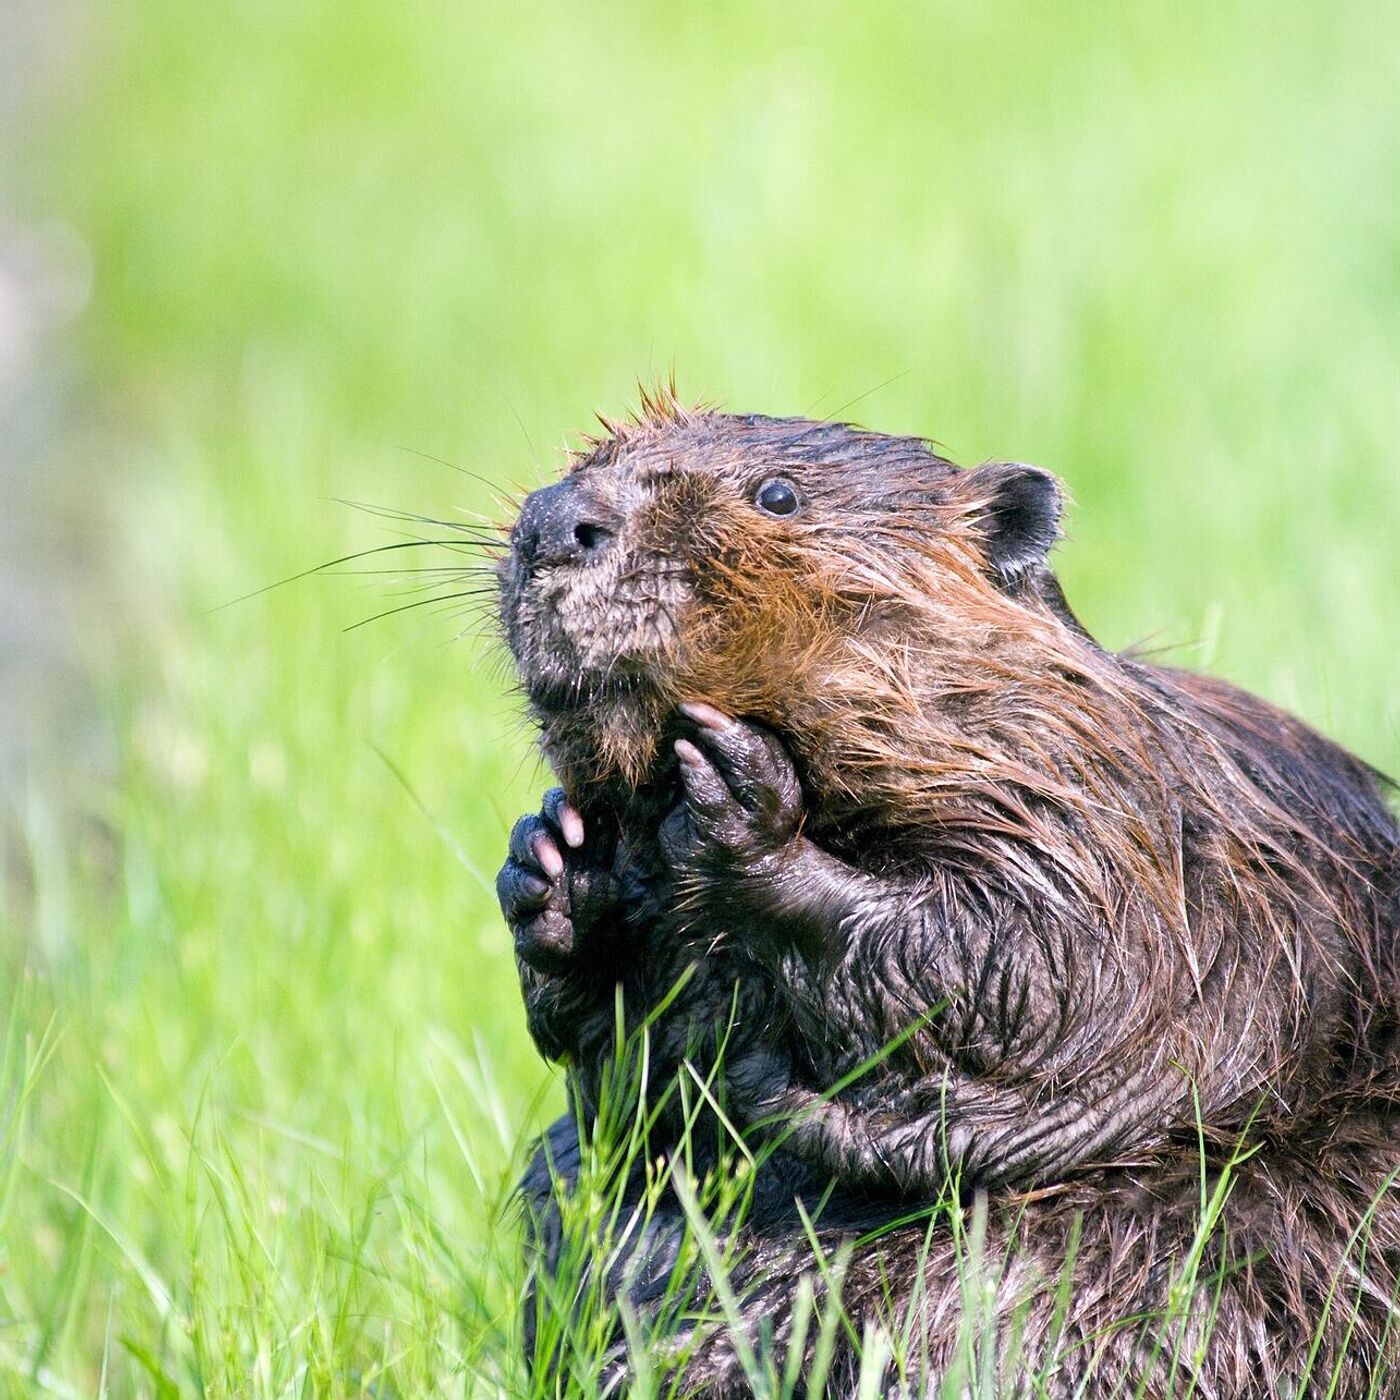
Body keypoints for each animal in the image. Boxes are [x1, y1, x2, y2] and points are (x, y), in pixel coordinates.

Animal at [492, 394, 1400, 1400]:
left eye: (778, 494)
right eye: (588, 461)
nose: (554, 519)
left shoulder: (1113, 814)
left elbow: (1040, 965)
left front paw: (740, 797)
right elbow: (638, 1098)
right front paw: (554, 863)